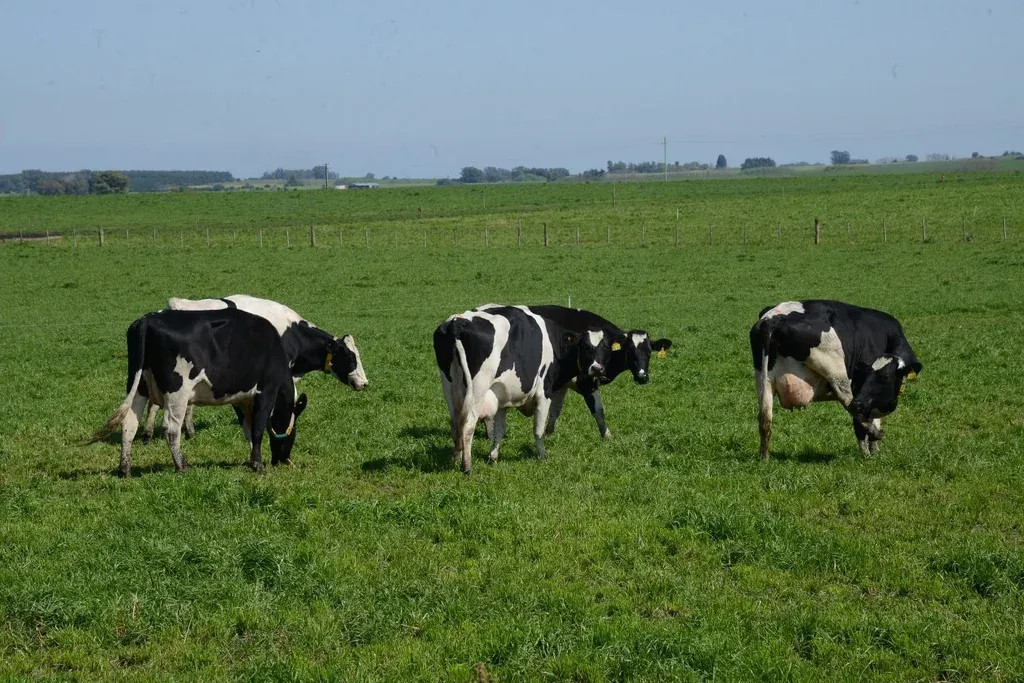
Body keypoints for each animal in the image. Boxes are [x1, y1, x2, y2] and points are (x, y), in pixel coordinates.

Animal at [88, 308, 310, 477]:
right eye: (294, 434)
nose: (282, 460)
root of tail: (147, 320)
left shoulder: (241, 399)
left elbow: (247, 428)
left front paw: (252, 460)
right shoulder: (266, 391)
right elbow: (257, 429)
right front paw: (258, 465)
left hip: (138, 386)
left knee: (129, 424)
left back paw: (125, 469)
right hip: (177, 391)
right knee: (171, 428)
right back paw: (181, 465)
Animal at [432, 305, 615, 474]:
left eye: (606, 347)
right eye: (585, 346)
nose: (597, 368)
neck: (558, 344)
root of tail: (457, 322)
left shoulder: (501, 398)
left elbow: (499, 430)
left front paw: (493, 456)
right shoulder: (544, 393)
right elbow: (538, 429)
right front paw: (542, 454)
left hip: (450, 388)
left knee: (456, 423)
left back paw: (456, 459)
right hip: (477, 390)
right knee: (468, 425)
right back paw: (467, 466)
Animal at [526, 305, 672, 439]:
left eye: (649, 352)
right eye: (629, 352)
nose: (642, 377)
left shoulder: (563, 383)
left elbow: (555, 409)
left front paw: (548, 433)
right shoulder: (586, 382)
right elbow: (598, 410)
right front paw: (607, 437)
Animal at [749, 300, 922, 460]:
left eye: (885, 377)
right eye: (868, 374)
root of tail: (773, 318)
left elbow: (874, 417)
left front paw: (874, 450)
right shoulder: (860, 389)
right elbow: (863, 420)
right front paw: (867, 454)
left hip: (763, 378)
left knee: (765, 418)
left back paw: (765, 457)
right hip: (835, 371)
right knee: (849, 404)